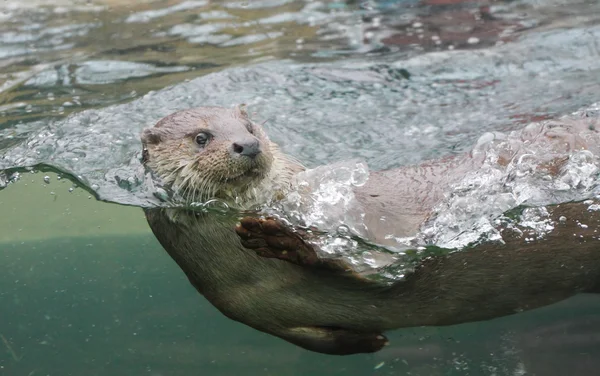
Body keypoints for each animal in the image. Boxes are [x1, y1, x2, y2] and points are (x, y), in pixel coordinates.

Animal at [142, 106, 600, 356]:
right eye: (201, 137)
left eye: (251, 128)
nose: (248, 145)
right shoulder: (246, 311)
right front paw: (369, 342)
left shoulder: (379, 237)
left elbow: (370, 266)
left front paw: (280, 240)